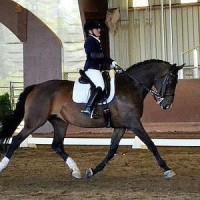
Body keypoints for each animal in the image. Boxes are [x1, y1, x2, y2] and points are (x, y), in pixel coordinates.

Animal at [0, 59, 184, 180]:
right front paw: (167, 169)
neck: (131, 86)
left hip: (60, 122)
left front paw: (93, 171)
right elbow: (151, 144)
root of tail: (36, 87)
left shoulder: (121, 127)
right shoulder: (134, 124)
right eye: (170, 81)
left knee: (57, 145)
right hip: (35, 121)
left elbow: (111, 150)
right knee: (16, 140)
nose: (166, 105)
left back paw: (76, 171)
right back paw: (2, 166)